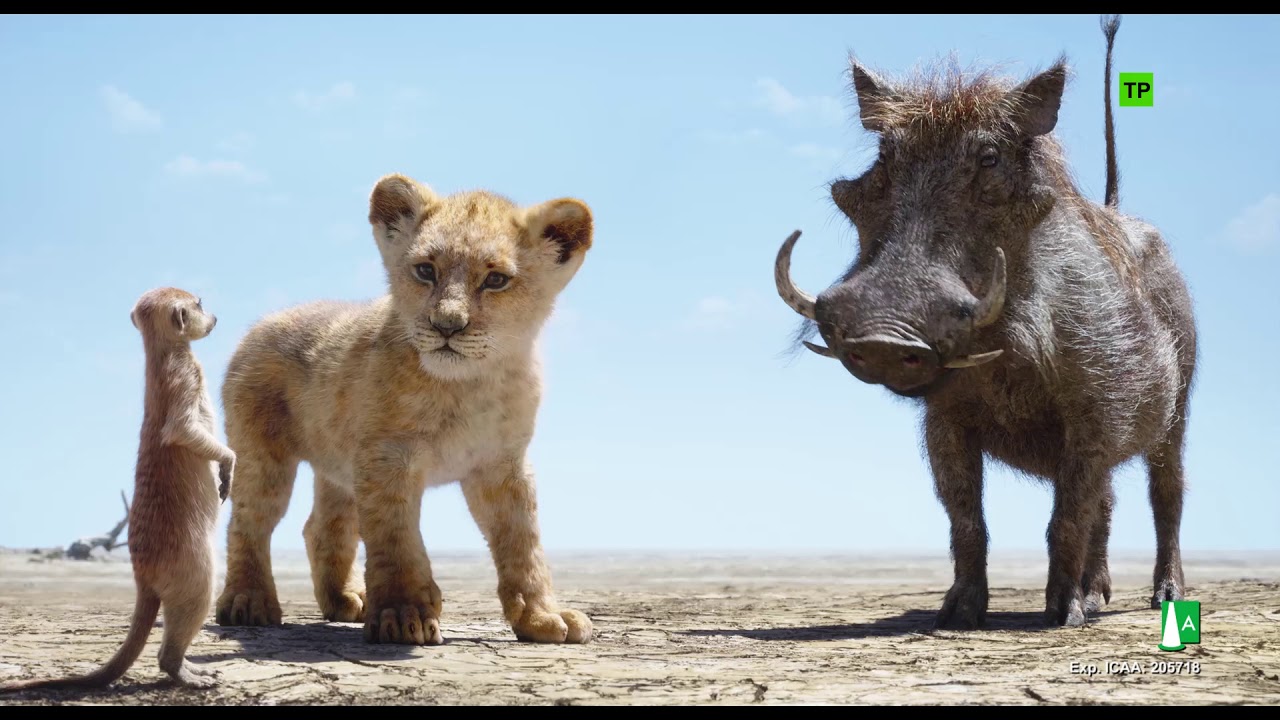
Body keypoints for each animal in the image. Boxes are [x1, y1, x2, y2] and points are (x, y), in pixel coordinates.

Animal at [214, 173, 593, 645]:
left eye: (496, 280)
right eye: (426, 270)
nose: (447, 325)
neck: (467, 385)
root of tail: (262, 322)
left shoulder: (502, 464)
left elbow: (523, 543)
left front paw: (543, 617)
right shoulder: (388, 456)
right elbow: (397, 538)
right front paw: (402, 614)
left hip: (338, 462)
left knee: (323, 527)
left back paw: (345, 601)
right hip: (262, 453)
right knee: (250, 521)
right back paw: (247, 603)